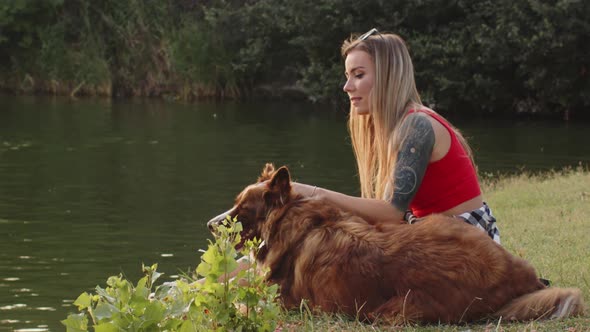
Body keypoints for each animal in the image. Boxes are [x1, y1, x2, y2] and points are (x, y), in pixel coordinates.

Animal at [207, 164, 584, 324]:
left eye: (241, 210)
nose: (209, 223)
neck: (291, 219)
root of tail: (516, 275)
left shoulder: (284, 303)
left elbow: (239, 304)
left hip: (390, 310)